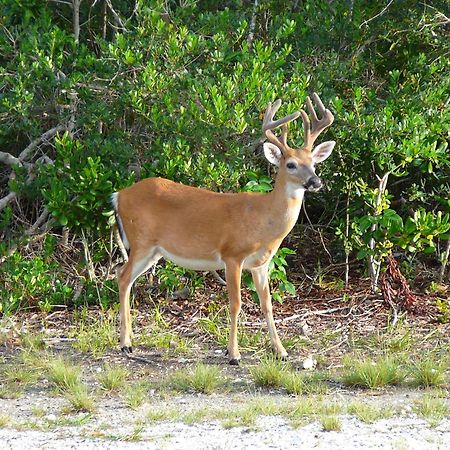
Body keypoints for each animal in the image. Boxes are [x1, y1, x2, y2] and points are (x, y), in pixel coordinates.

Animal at [110, 92, 332, 366]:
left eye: (313, 163)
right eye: (290, 164)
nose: (315, 181)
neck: (263, 219)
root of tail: (119, 195)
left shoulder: (261, 263)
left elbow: (267, 304)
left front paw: (280, 351)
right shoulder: (232, 254)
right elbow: (236, 303)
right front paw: (234, 354)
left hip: (153, 251)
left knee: (124, 277)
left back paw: (129, 341)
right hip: (141, 241)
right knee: (122, 276)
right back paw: (125, 344)